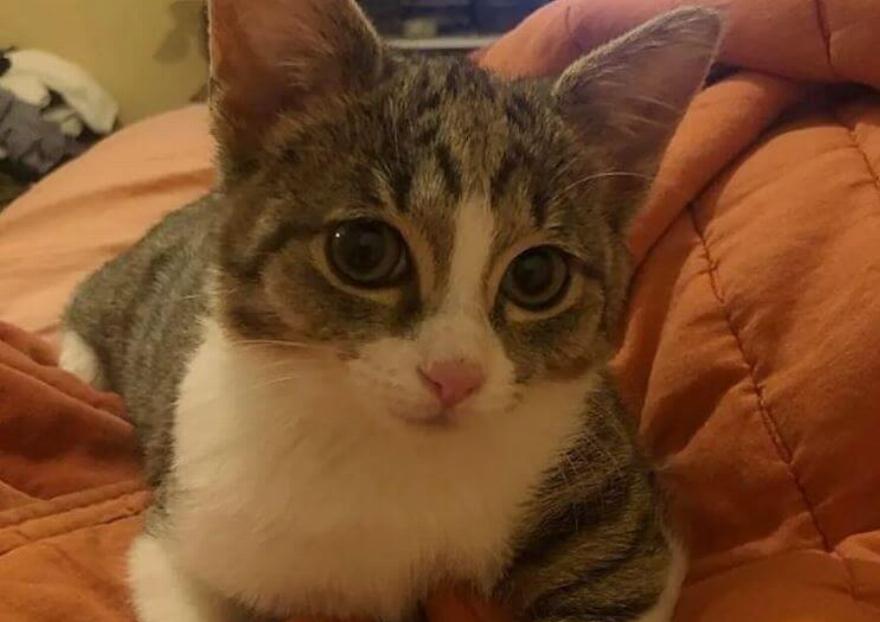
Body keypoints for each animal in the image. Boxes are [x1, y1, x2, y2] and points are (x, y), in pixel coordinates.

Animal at [60, 2, 720, 621]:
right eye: (364, 251)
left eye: (537, 276)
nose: (454, 376)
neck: (390, 452)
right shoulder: (183, 528)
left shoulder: (618, 525)